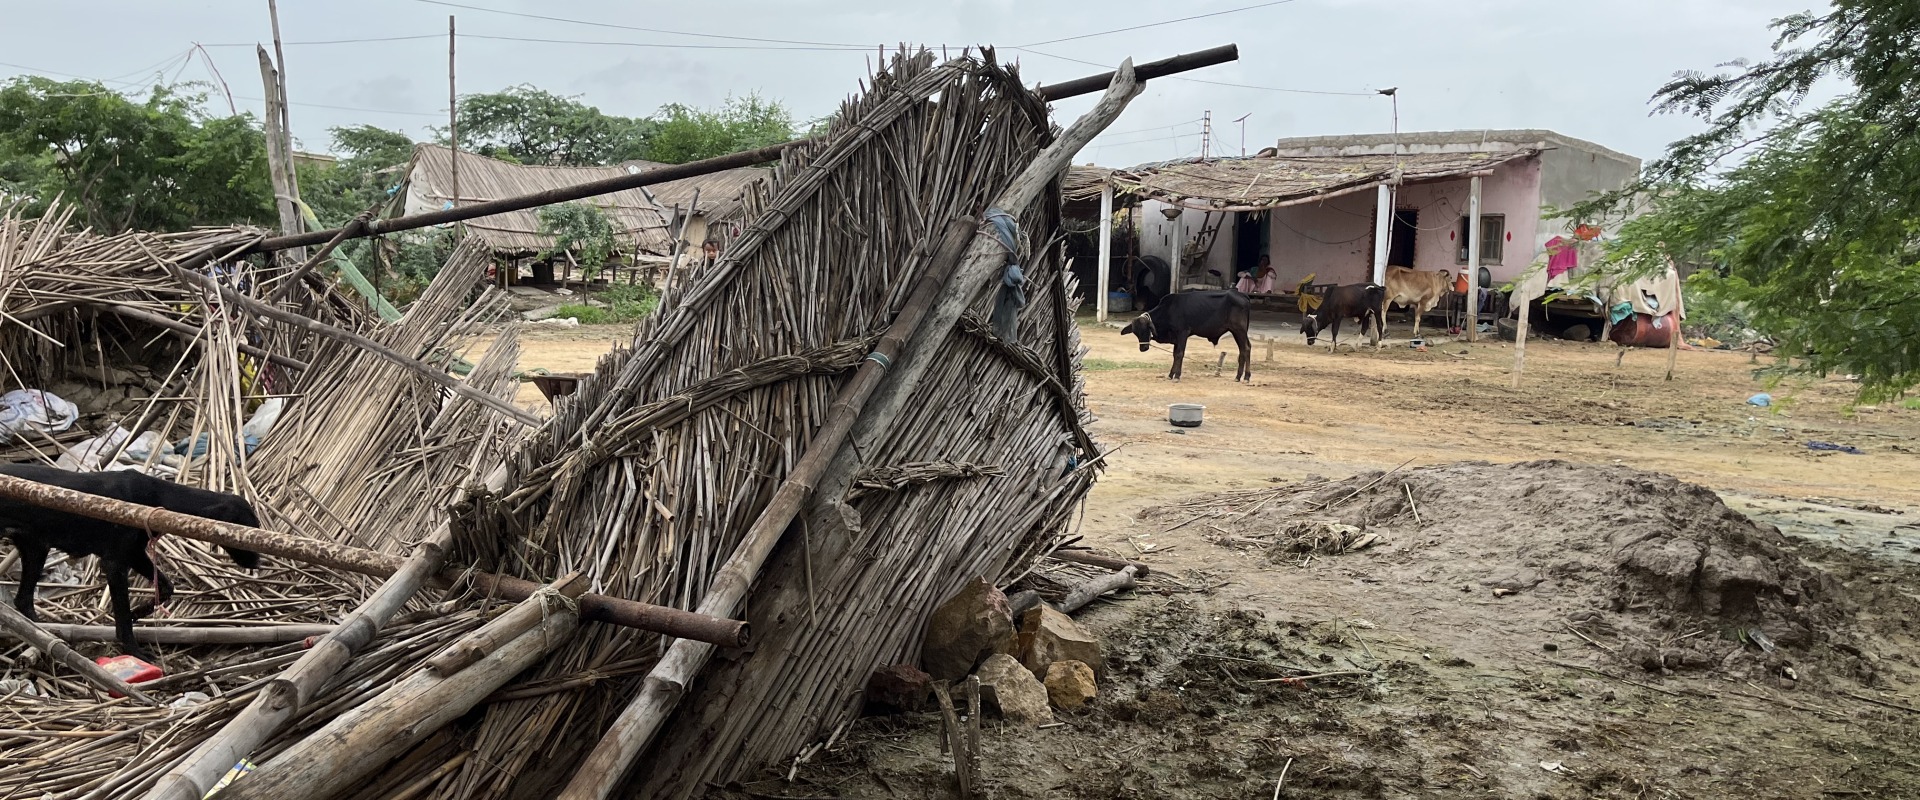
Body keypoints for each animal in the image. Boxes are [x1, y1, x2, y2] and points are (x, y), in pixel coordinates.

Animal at [0, 464, 263, 656]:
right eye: (244, 532)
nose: (257, 563)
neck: (156, 498)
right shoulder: (115, 562)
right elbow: (123, 616)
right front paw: (134, 649)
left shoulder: (134, 554)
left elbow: (166, 587)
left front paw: (139, 612)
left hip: (35, 549)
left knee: (24, 600)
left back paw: (43, 631)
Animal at [1121, 287, 1251, 381]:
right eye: (1135, 333)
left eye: (1146, 329)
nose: (1143, 348)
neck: (1168, 310)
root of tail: (1242, 295)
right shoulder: (1175, 338)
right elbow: (1174, 355)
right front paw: (1171, 374)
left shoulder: (1183, 333)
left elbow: (1179, 354)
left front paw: (1177, 376)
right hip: (1236, 332)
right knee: (1244, 349)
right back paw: (1241, 376)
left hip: (1239, 330)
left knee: (1245, 348)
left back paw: (1244, 377)